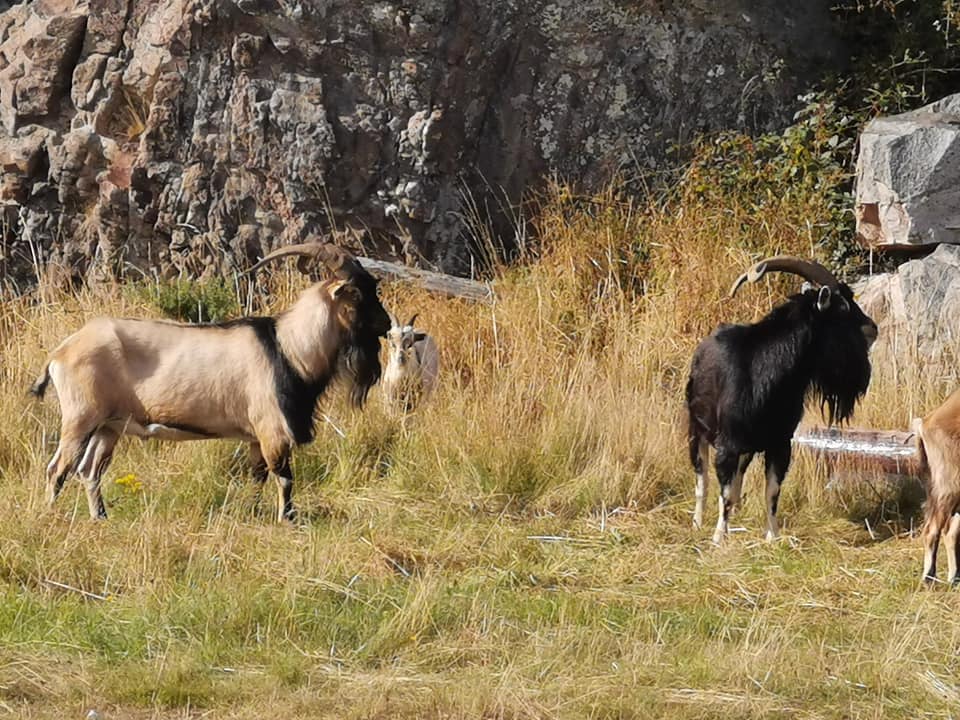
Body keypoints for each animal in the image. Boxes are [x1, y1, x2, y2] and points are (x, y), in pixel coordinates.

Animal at [31, 245, 390, 520]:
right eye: (357, 292)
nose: (386, 324)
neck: (287, 347)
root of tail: (60, 353)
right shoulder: (272, 431)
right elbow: (284, 478)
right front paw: (288, 519)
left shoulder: (255, 438)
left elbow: (257, 477)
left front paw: (254, 512)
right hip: (81, 417)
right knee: (57, 469)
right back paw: (50, 516)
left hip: (109, 425)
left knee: (89, 470)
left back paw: (100, 517)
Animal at [684, 256, 876, 544]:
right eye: (842, 307)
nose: (873, 328)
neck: (766, 370)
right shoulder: (728, 444)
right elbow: (723, 492)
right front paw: (719, 537)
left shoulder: (780, 443)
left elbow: (772, 492)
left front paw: (772, 537)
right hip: (697, 430)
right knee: (702, 478)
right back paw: (697, 522)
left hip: (749, 446)